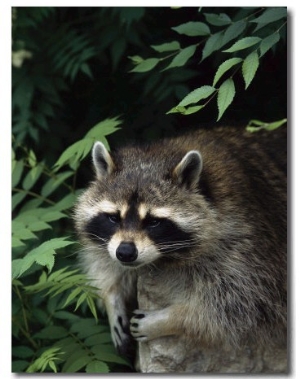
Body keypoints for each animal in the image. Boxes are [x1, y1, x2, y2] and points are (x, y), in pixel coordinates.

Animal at [74, 125, 288, 362]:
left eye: (154, 222)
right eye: (113, 217)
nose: (126, 252)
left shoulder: (248, 243)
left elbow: (239, 305)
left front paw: (171, 318)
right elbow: (106, 265)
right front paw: (112, 299)